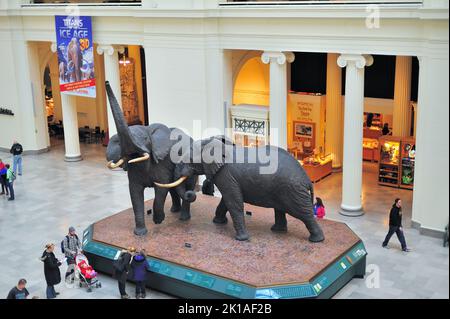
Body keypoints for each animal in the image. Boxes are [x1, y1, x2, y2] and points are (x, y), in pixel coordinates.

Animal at [106, 82, 198, 238]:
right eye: (120, 143)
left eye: (145, 138)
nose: (106, 82)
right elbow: (135, 193)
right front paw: (140, 234)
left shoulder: (161, 163)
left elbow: (160, 189)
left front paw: (158, 220)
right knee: (173, 188)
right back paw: (174, 211)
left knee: (187, 187)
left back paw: (183, 218)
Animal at [155, 136, 324, 244]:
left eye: (189, 160)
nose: (191, 193)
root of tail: (307, 178)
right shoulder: (228, 179)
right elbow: (226, 200)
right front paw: (218, 222)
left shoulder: (226, 175)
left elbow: (233, 202)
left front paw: (241, 239)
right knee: (281, 209)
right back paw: (278, 230)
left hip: (293, 191)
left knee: (303, 213)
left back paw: (316, 240)